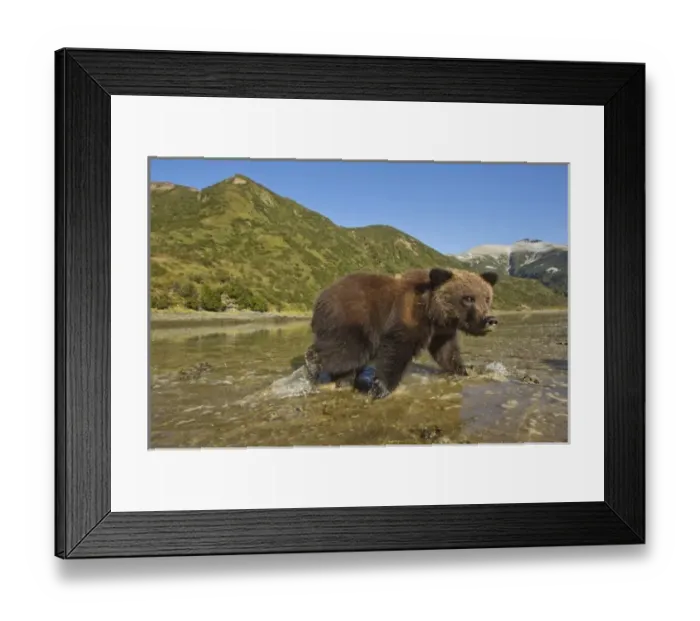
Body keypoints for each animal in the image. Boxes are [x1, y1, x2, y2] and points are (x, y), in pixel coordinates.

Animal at [303, 267, 499, 399]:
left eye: (487, 298)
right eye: (468, 298)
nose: (490, 319)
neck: (433, 313)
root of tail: (321, 295)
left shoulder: (442, 331)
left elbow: (446, 352)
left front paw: (464, 370)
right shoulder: (407, 317)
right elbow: (397, 349)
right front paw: (382, 388)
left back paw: (345, 380)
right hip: (353, 317)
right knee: (349, 351)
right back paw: (314, 364)